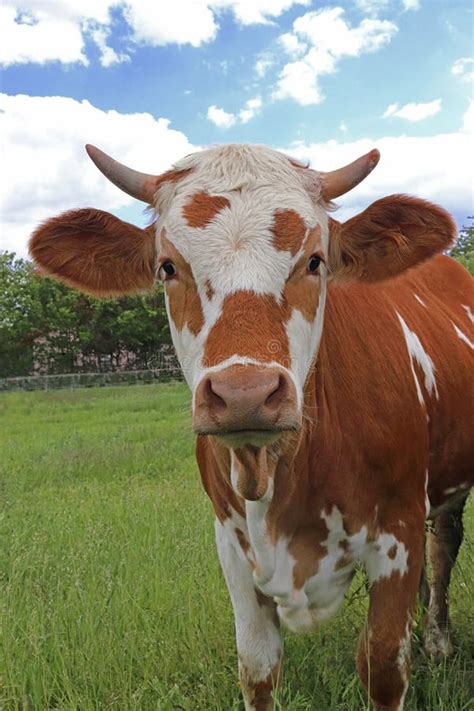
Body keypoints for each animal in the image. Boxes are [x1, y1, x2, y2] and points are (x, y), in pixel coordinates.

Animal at [29, 142, 474, 708]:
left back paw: (437, 639)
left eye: (315, 261)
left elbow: (383, 665)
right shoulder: (232, 546)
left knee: (444, 546)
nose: (246, 394)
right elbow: (258, 669)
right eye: (167, 267)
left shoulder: (396, 530)